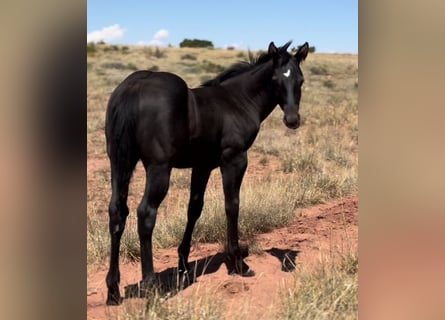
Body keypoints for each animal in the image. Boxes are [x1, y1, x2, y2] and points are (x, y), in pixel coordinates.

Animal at [103, 40, 306, 304]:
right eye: (275, 79)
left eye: (300, 80)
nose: (292, 119)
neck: (238, 101)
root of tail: (132, 87)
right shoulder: (234, 159)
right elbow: (232, 206)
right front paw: (238, 263)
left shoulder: (202, 166)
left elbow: (194, 209)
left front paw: (184, 264)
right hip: (158, 169)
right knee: (146, 213)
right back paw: (150, 284)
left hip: (119, 164)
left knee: (117, 212)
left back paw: (113, 290)